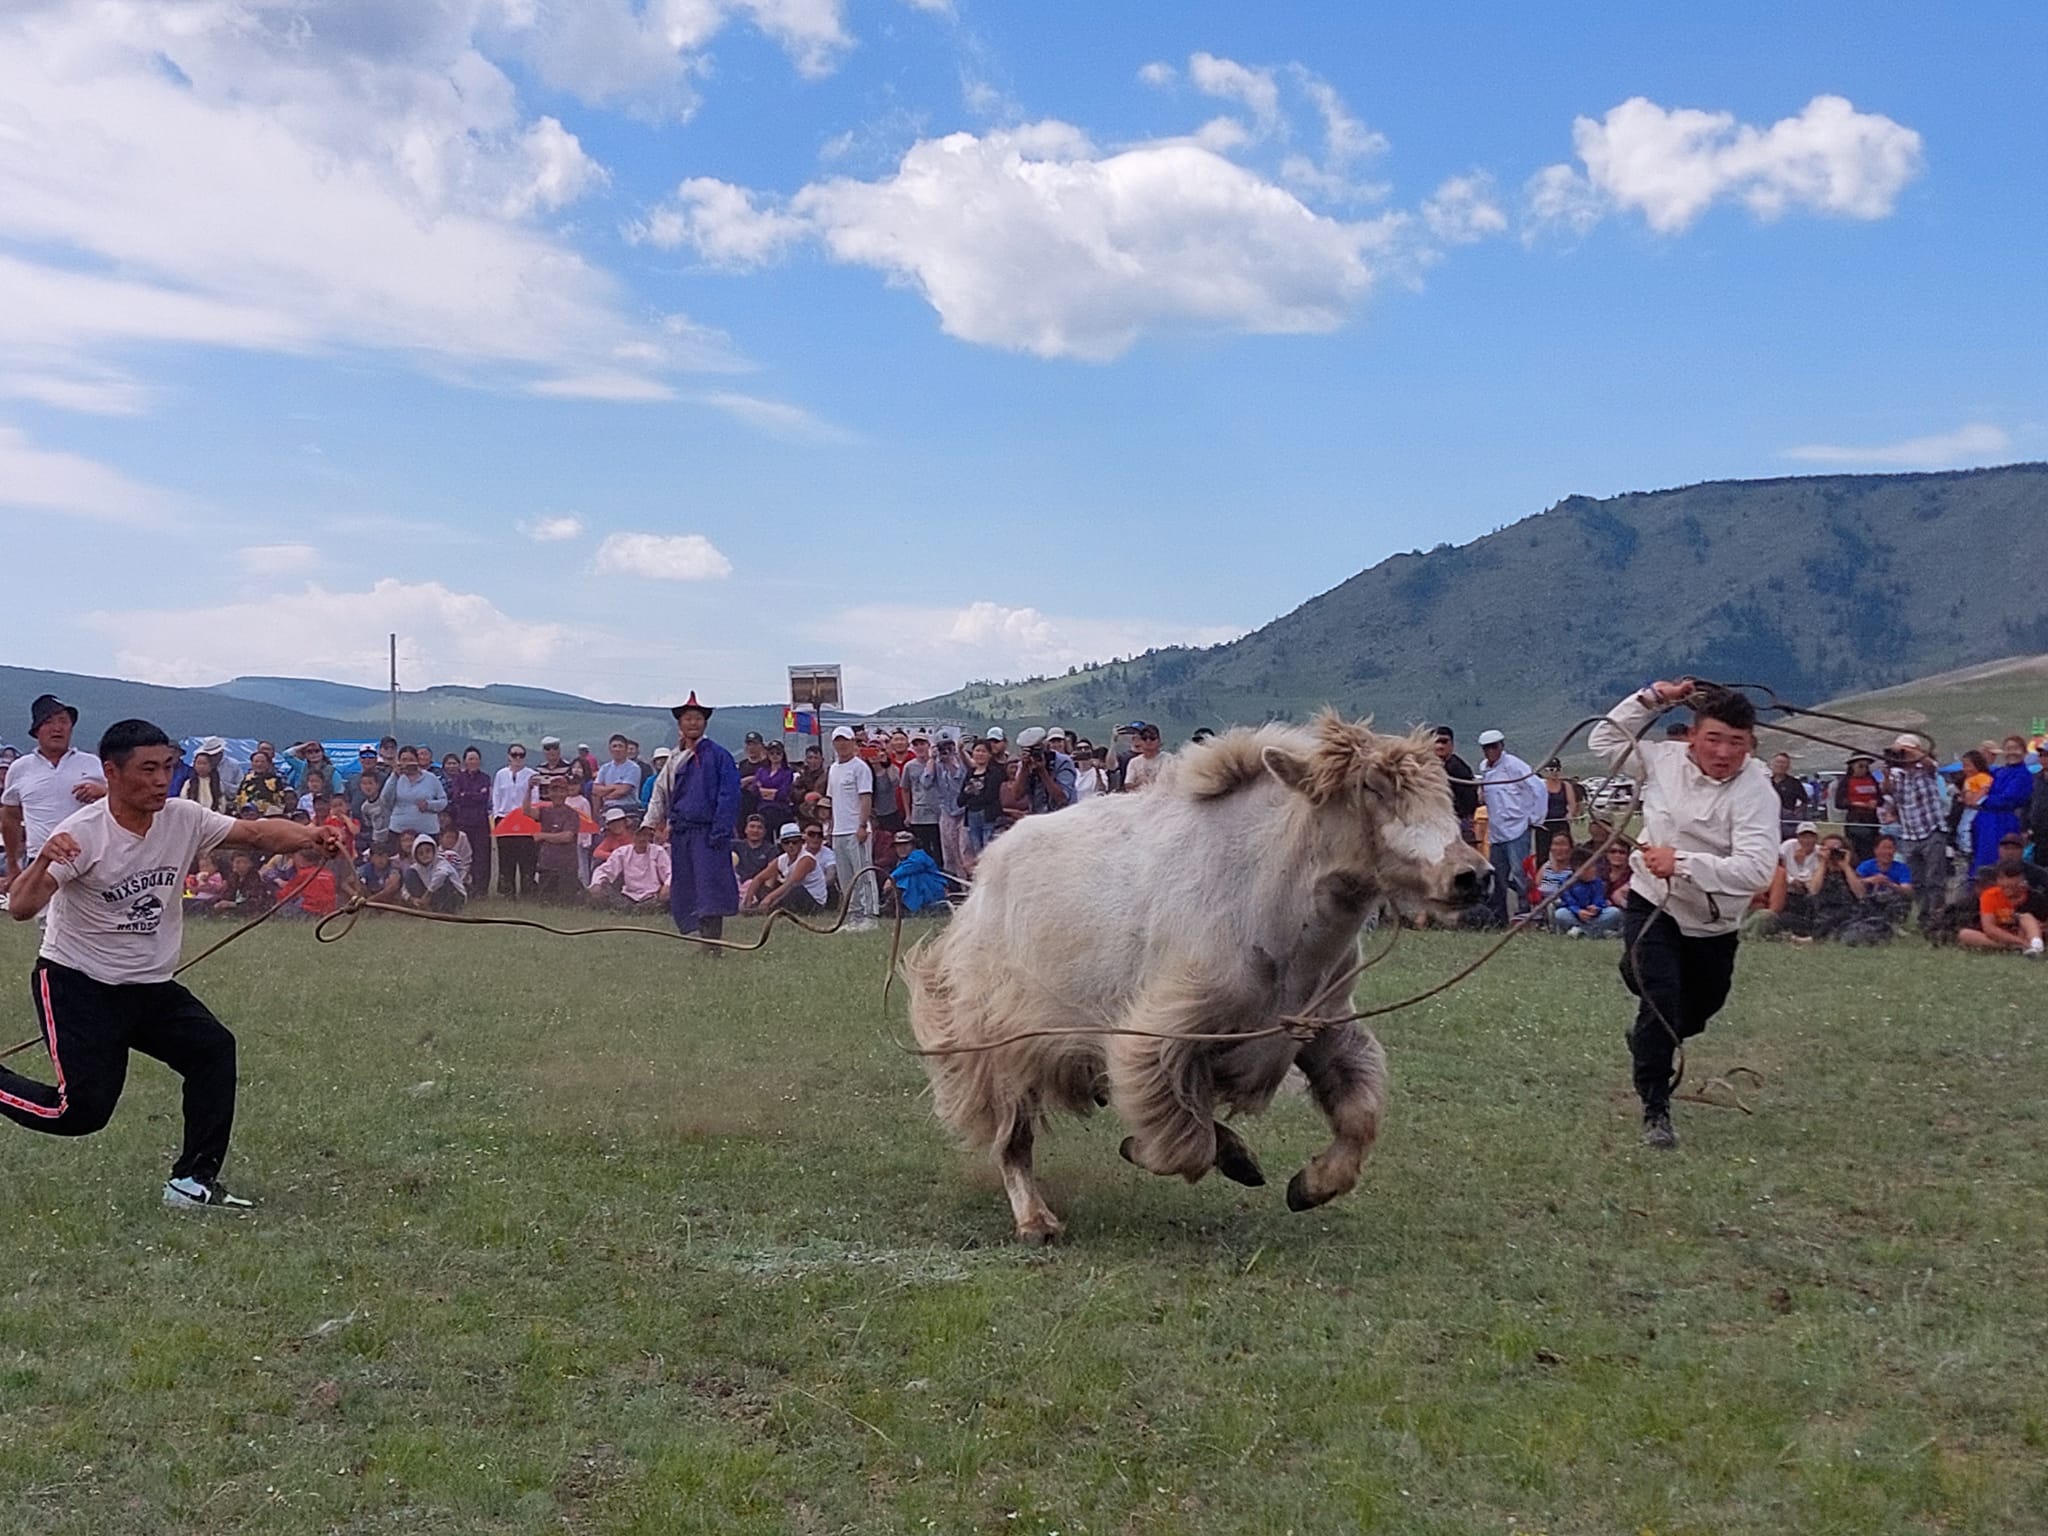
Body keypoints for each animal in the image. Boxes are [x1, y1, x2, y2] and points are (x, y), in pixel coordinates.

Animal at [904, 713, 1494, 1243]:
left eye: (1444, 789)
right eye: (1371, 787)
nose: (1473, 876)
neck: (1269, 888)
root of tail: (977, 882)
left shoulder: (1323, 1027)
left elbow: (1358, 1115)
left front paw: (1308, 1185)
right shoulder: (1162, 1033)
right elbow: (1182, 1144)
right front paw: (1218, 1154)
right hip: (995, 1042)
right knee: (1013, 1138)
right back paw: (1036, 1220)